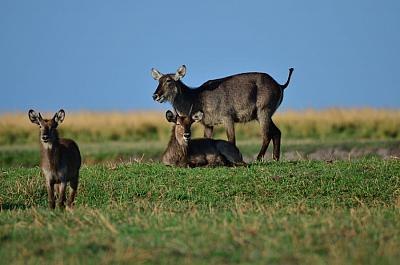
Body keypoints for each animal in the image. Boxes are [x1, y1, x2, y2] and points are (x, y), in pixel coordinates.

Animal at [151, 65, 294, 161]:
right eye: (158, 81)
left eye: (169, 80)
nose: (155, 96)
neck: (197, 98)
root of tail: (280, 85)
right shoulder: (208, 124)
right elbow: (207, 140)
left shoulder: (227, 118)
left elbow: (231, 139)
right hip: (263, 115)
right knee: (277, 132)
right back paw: (275, 158)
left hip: (263, 111)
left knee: (266, 135)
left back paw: (258, 159)